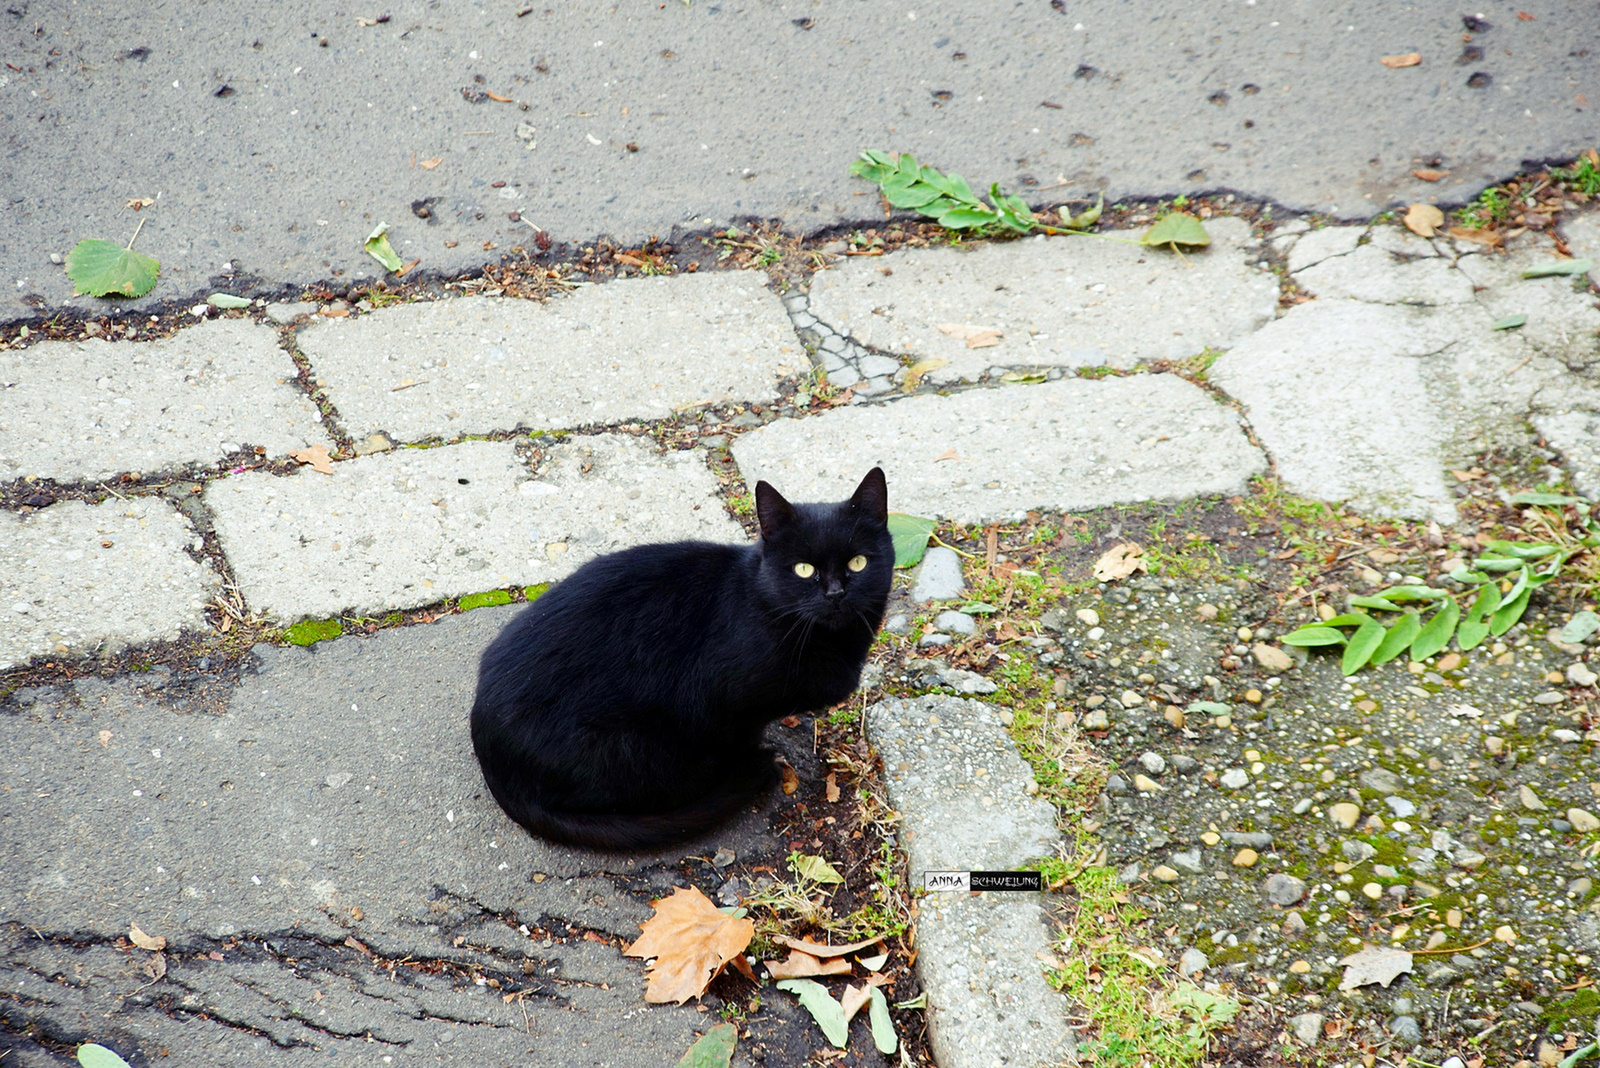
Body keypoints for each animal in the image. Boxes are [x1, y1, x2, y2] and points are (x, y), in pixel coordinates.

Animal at [470, 466, 902, 850]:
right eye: (803, 569)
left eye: (858, 562)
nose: (835, 593)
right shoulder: (731, 706)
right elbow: (741, 737)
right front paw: (754, 760)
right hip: (639, 747)